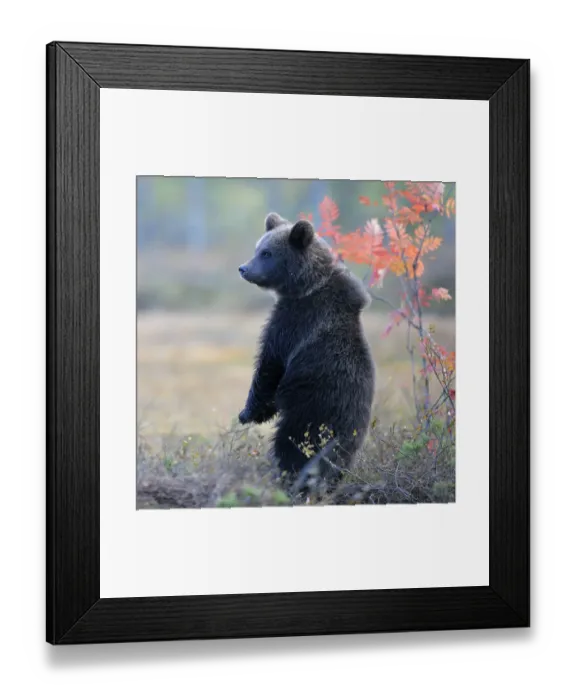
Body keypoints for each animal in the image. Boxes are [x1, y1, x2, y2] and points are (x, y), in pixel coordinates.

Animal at [238, 212, 376, 499]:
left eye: (266, 253)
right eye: (258, 248)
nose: (243, 268)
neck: (307, 286)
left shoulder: (294, 321)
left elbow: (269, 365)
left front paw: (248, 412)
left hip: (311, 411)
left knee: (291, 446)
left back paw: (289, 482)